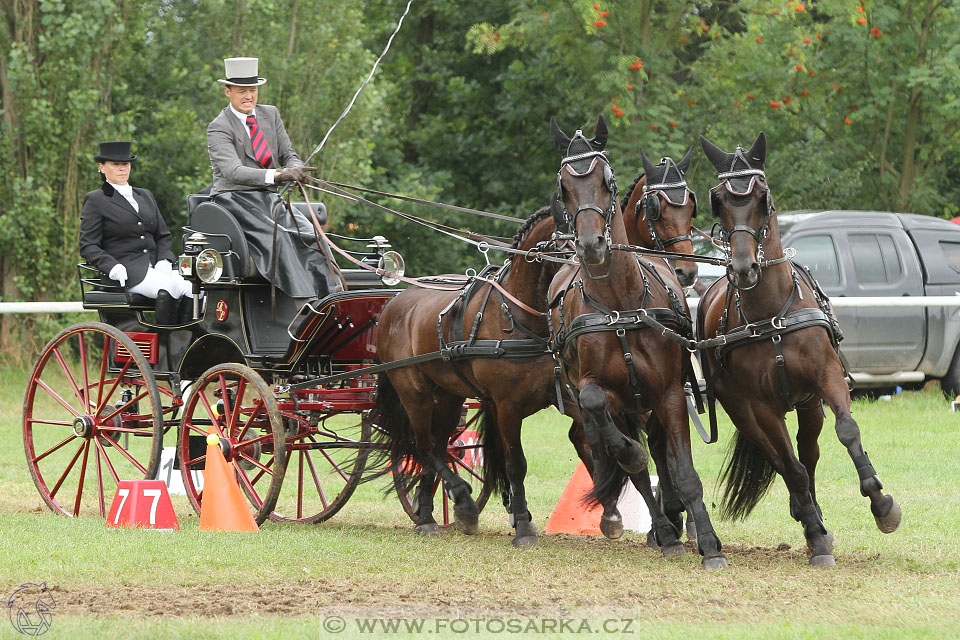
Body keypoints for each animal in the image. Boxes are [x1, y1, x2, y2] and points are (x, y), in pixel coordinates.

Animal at [548, 117, 728, 568]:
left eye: (607, 180)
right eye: (564, 186)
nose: (591, 246)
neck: (619, 303)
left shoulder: (668, 392)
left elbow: (682, 469)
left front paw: (709, 543)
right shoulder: (598, 393)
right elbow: (628, 454)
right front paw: (664, 521)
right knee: (627, 458)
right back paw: (662, 529)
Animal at [696, 130, 900, 564]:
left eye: (763, 196)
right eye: (718, 200)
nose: (743, 268)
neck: (772, 312)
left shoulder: (827, 378)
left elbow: (847, 431)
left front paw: (881, 504)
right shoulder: (761, 406)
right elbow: (789, 466)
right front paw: (816, 536)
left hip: (807, 405)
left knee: (809, 451)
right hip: (742, 411)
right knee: (785, 460)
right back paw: (809, 519)